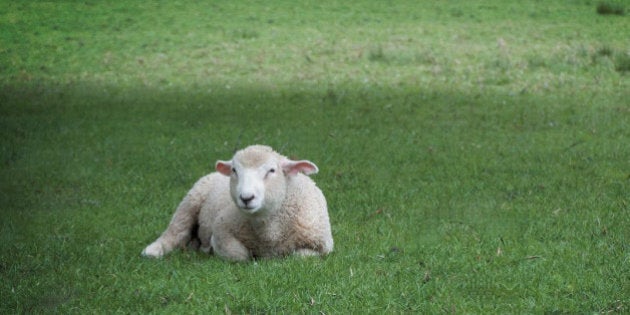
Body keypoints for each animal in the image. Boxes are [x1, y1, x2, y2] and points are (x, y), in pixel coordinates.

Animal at [141, 146, 334, 262]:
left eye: (272, 170)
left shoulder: (323, 245)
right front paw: (211, 248)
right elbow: (239, 254)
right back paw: (153, 251)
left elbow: (299, 256)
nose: (246, 198)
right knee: (175, 231)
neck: (270, 234)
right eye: (235, 170)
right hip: (190, 201)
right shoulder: (221, 229)